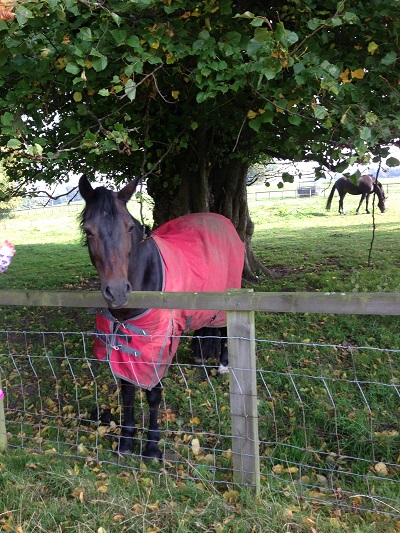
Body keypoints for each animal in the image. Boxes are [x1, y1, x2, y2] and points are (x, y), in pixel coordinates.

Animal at [78, 175, 244, 458]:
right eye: (88, 230)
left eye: (129, 228)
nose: (118, 292)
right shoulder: (125, 342)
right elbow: (127, 391)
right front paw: (126, 441)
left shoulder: (158, 343)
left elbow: (153, 394)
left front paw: (152, 446)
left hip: (227, 299)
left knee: (224, 330)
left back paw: (223, 366)